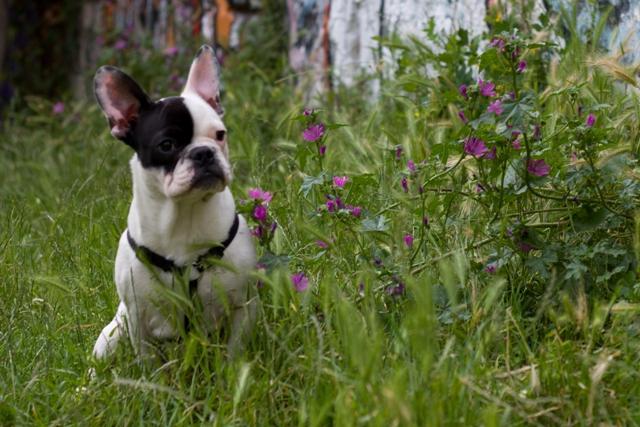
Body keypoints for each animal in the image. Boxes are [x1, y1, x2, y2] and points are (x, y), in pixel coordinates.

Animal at [92, 46, 258, 362]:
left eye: (220, 135)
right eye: (166, 145)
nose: (203, 152)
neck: (184, 214)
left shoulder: (240, 305)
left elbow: (235, 352)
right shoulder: (139, 319)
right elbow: (148, 363)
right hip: (112, 335)